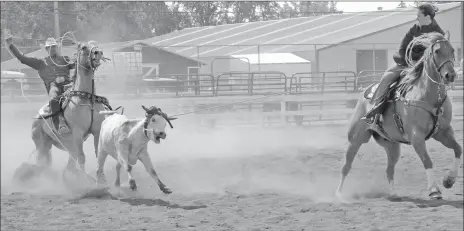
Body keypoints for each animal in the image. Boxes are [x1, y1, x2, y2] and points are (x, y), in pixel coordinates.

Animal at [31, 42, 113, 181]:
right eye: (84, 47)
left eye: (95, 45)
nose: (98, 52)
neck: (87, 99)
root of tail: (37, 117)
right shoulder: (78, 133)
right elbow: (82, 157)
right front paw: (86, 180)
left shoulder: (97, 132)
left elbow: (99, 155)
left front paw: (101, 179)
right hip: (41, 144)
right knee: (42, 161)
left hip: (63, 144)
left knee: (69, 162)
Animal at [338, 32, 460, 200]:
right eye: (437, 51)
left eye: (453, 50)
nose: (450, 75)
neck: (427, 95)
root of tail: (366, 93)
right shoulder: (416, 137)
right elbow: (427, 161)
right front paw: (434, 190)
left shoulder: (443, 132)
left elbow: (458, 149)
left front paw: (449, 180)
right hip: (356, 139)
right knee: (346, 166)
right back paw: (338, 193)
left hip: (392, 145)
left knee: (389, 169)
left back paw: (394, 193)